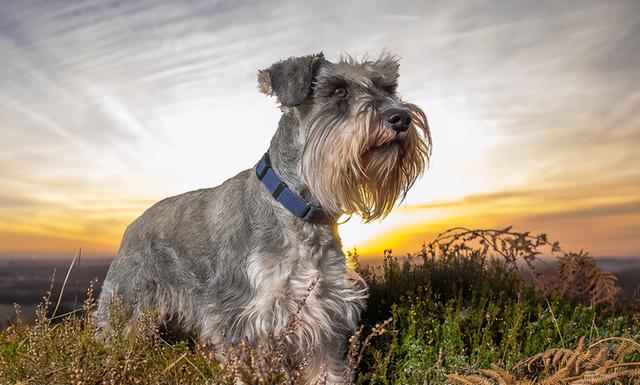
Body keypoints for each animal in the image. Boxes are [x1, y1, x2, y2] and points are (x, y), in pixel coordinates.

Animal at [97, 51, 432, 384]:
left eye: (387, 87)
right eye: (339, 90)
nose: (401, 117)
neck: (299, 212)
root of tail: (132, 225)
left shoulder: (325, 316)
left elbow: (325, 371)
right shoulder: (242, 321)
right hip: (123, 306)